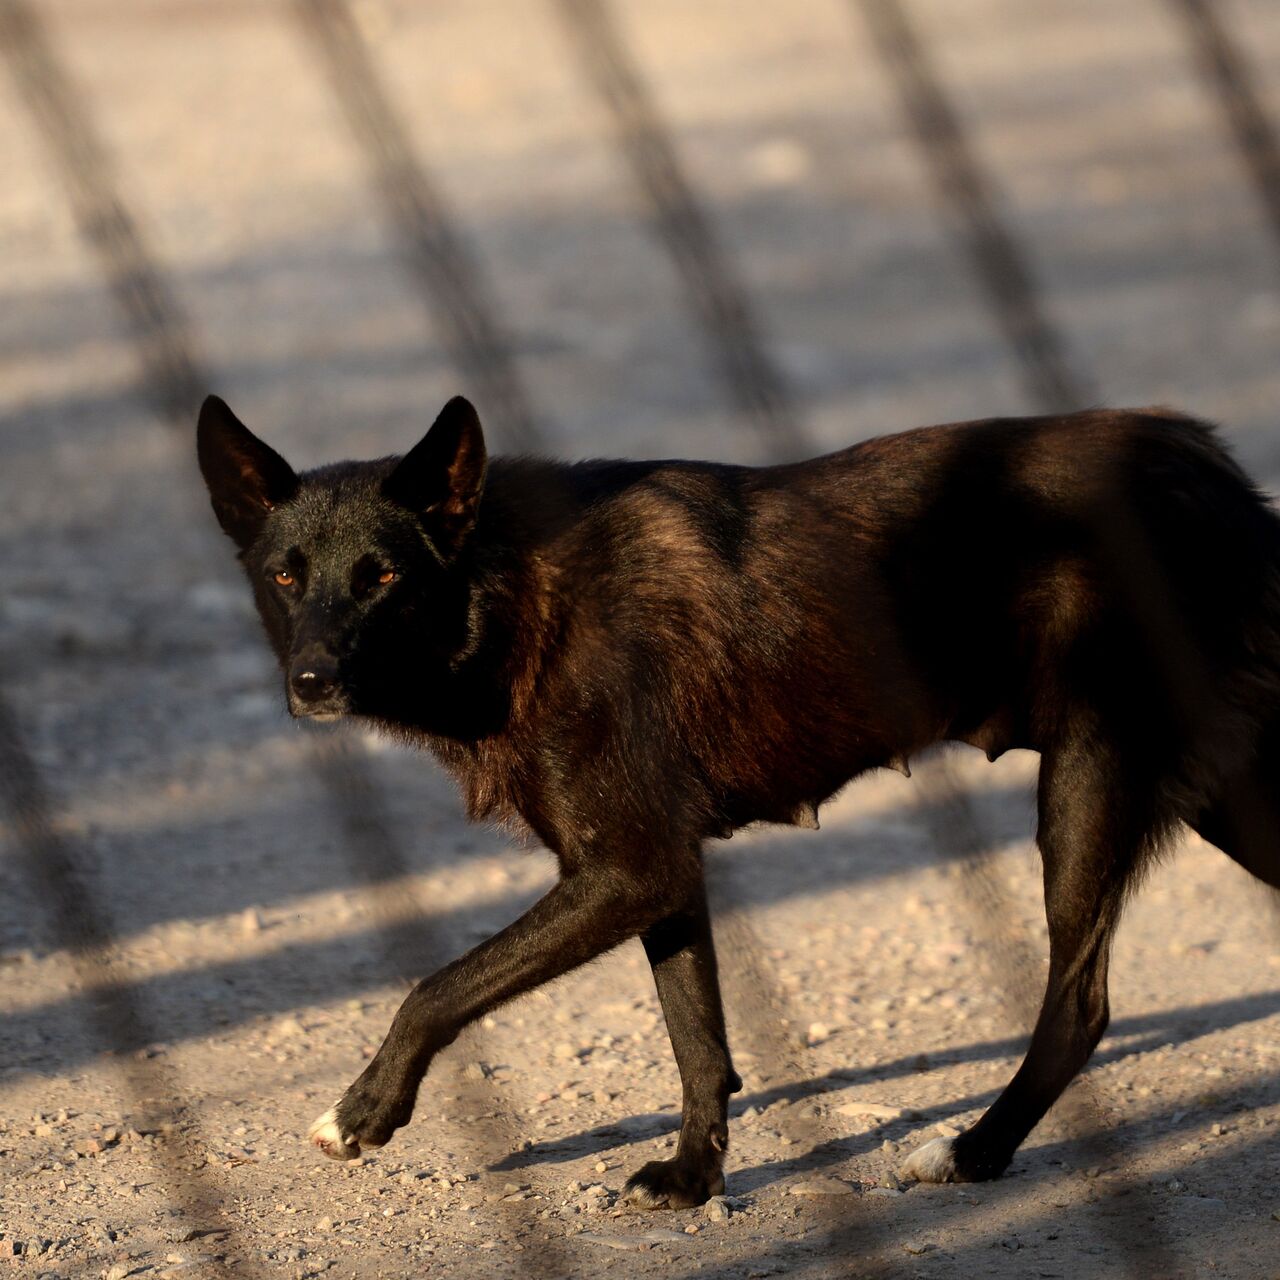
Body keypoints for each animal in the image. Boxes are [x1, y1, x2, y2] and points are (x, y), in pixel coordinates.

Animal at [194, 394, 1280, 1203]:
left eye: (381, 575)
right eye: (286, 576)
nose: (311, 682)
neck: (510, 594)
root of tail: (1213, 471)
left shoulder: (629, 867)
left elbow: (437, 986)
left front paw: (360, 1113)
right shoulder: (658, 876)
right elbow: (697, 1037)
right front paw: (691, 1177)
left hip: (1089, 780)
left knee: (1081, 1001)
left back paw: (975, 1150)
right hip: (1215, 792)